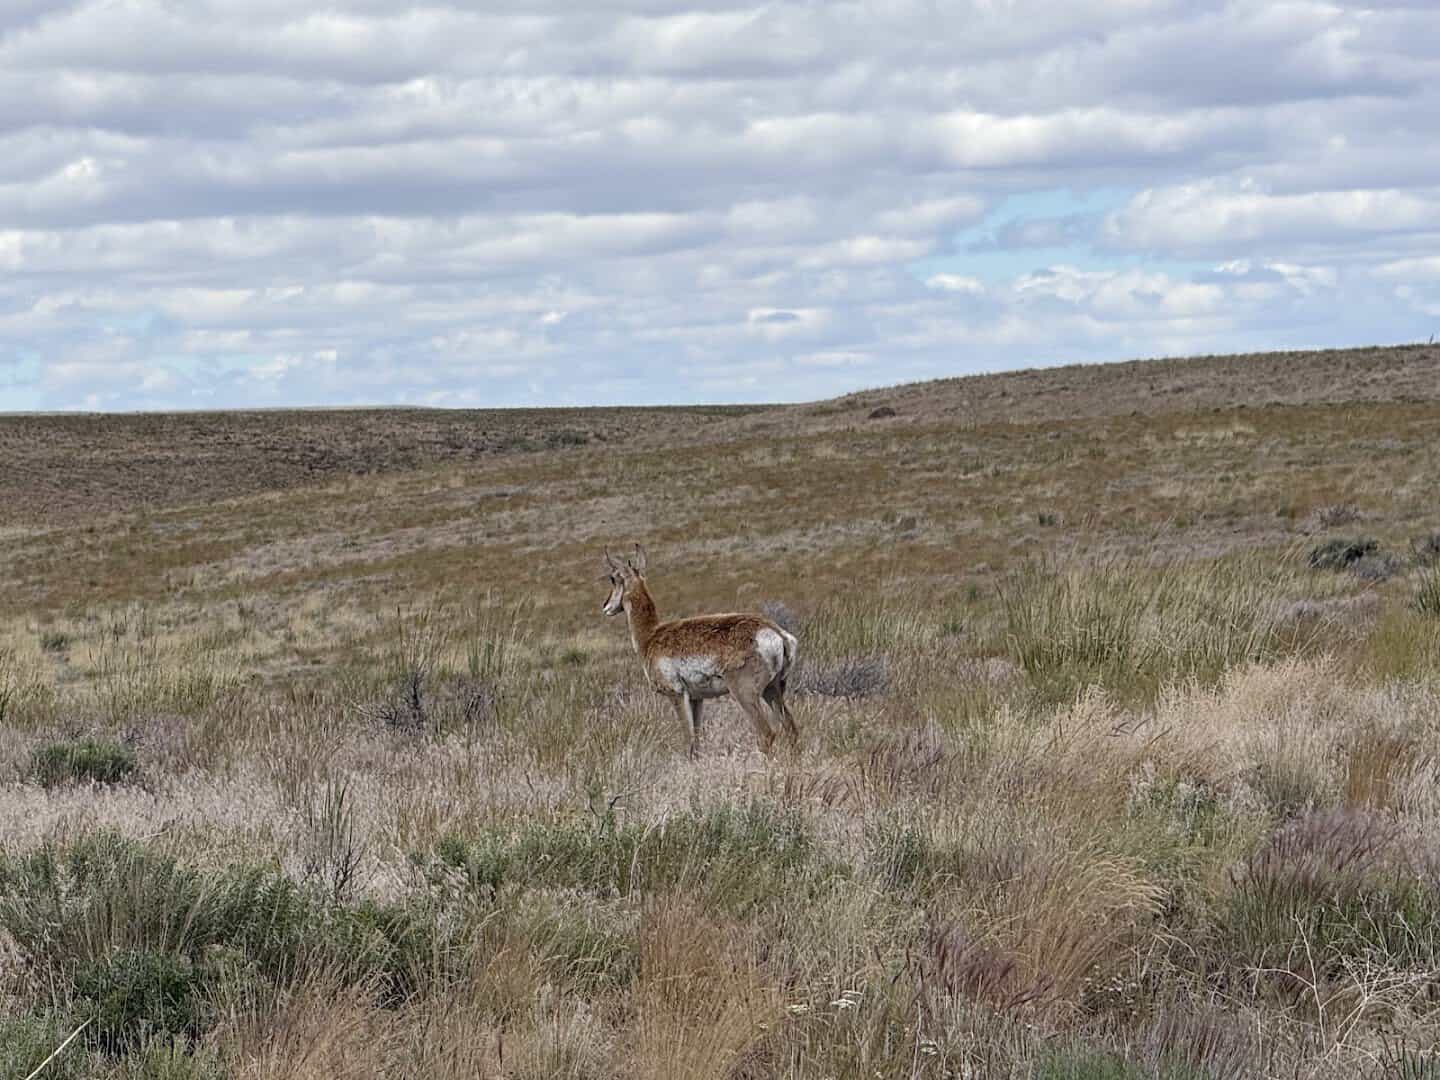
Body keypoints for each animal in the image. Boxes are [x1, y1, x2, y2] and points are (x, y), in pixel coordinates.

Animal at [601, 545, 800, 758]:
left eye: (613, 578)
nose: (605, 607)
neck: (651, 635)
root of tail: (776, 632)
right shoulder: (697, 699)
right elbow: (696, 743)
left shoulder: (677, 695)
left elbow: (688, 741)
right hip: (773, 690)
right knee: (791, 728)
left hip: (745, 694)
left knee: (766, 733)